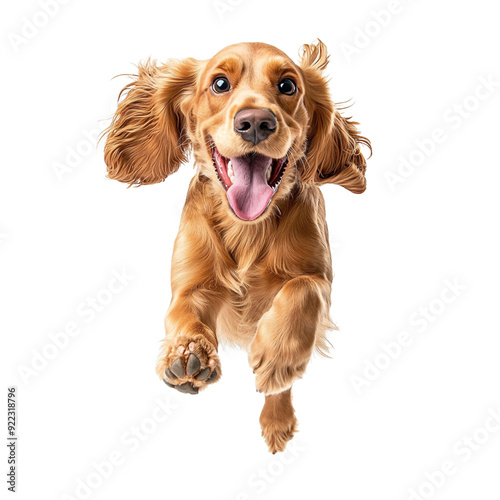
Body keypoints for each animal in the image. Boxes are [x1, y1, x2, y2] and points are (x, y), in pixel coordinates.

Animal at [103, 40, 370, 454]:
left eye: (288, 85)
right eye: (219, 83)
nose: (257, 122)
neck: (249, 229)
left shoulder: (319, 278)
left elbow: (302, 289)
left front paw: (277, 357)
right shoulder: (191, 287)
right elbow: (186, 316)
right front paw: (189, 355)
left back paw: (277, 413)